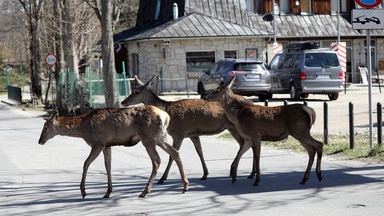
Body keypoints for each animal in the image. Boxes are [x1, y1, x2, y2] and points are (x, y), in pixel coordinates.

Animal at [38, 105, 188, 198]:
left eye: (45, 127)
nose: (40, 141)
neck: (83, 130)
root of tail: (166, 116)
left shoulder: (98, 143)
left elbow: (86, 163)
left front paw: (83, 191)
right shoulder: (107, 145)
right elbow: (108, 166)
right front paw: (108, 192)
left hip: (149, 138)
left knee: (157, 160)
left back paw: (145, 191)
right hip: (161, 137)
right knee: (175, 152)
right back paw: (185, 186)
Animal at [121, 75, 256, 184]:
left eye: (137, 92)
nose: (123, 102)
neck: (168, 112)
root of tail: (252, 102)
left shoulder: (179, 133)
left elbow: (172, 155)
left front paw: (163, 178)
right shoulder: (192, 134)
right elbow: (199, 152)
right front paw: (205, 174)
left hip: (237, 127)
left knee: (248, 144)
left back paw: (246, 172)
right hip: (232, 128)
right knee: (246, 144)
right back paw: (248, 173)